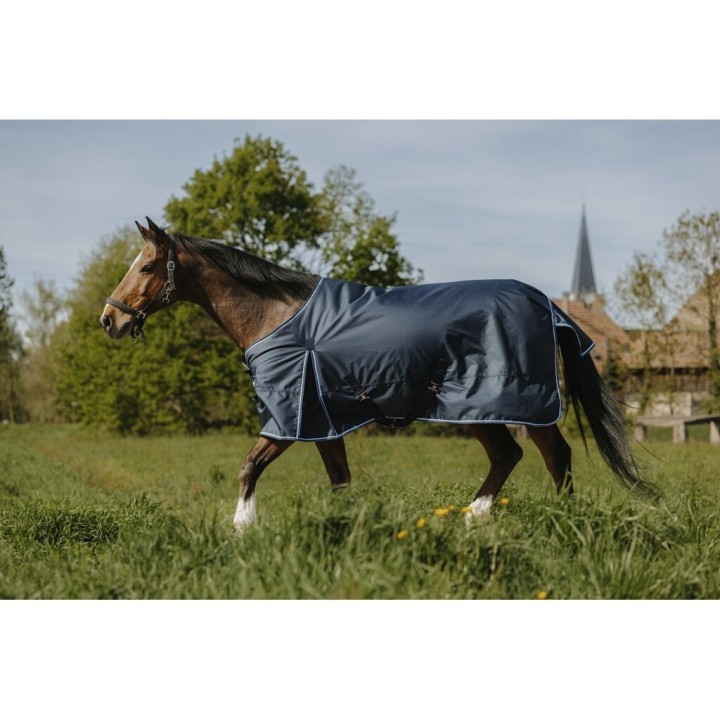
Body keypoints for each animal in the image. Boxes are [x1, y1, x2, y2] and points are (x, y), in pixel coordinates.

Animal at [101, 218, 654, 530]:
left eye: (147, 267)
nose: (110, 319)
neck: (278, 316)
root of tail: (543, 302)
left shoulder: (288, 417)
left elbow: (248, 468)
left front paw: (242, 528)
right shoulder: (322, 422)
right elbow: (340, 480)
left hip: (505, 403)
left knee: (540, 455)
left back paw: (516, 519)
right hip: (495, 408)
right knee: (527, 456)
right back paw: (483, 519)